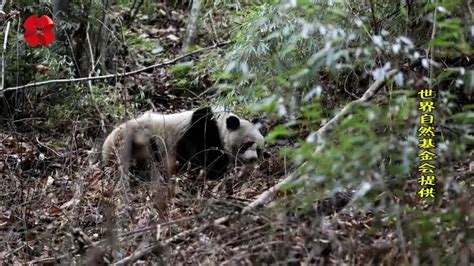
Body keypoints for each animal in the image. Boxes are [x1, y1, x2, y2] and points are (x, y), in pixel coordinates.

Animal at [102, 106, 264, 179]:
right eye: (246, 144)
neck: (221, 123)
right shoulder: (200, 129)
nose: (253, 159)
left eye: (260, 149)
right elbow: (203, 155)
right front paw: (218, 170)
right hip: (134, 141)